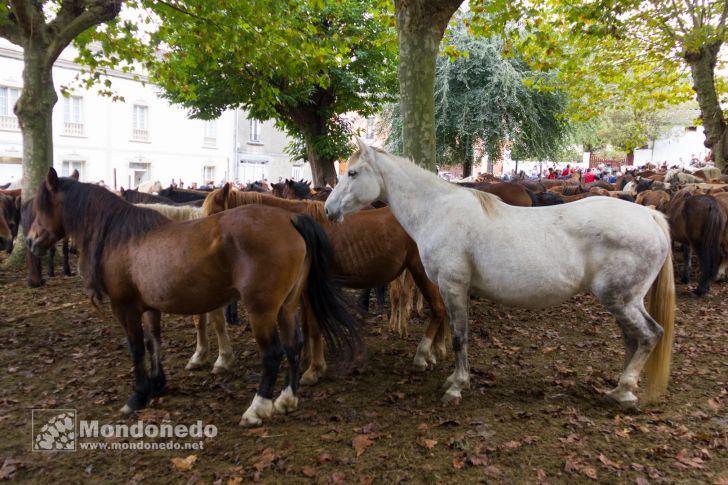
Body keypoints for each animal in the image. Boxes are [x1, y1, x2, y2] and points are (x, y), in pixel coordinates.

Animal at [200, 185, 450, 382]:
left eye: (214, 216)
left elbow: (313, 324)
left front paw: (314, 369)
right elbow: (306, 323)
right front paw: (305, 361)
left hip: (421, 272)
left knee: (438, 309)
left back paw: (422, 356)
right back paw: (437, 350)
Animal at [326, 140, 676, 408]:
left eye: (353, 173)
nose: (329, 210)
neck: (438, 210)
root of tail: (651, 216)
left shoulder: (453, 286)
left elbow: (459, 336)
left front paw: (457, 385)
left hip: (621, 300)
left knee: (650, 335)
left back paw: (625, 390)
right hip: (624, 303)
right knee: (633, 339)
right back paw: (621, 389)